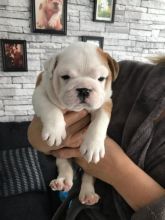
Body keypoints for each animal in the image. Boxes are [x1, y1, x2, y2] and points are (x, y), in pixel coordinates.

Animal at [32, 42, 118, 205]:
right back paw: (62, 181)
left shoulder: (105, 102)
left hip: (90, 167)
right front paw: (55, 131)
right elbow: (50, 108)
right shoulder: (40, 92)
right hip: (60, 154)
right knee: (64, 165)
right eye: (65, 77)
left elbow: (99, 122)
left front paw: (93, 146)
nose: (84, 89)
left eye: (101, 78)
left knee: (88, 176)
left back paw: (88, 194)